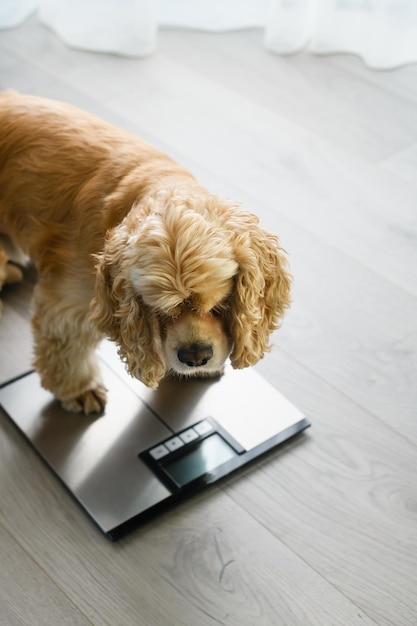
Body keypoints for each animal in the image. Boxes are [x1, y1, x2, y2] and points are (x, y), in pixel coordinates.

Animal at [0, 91, 290, 410]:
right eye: (159, 311)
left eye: (220, 302)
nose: (195, 357)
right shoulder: (70, 301)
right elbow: (67, 346)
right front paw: (78, 388)